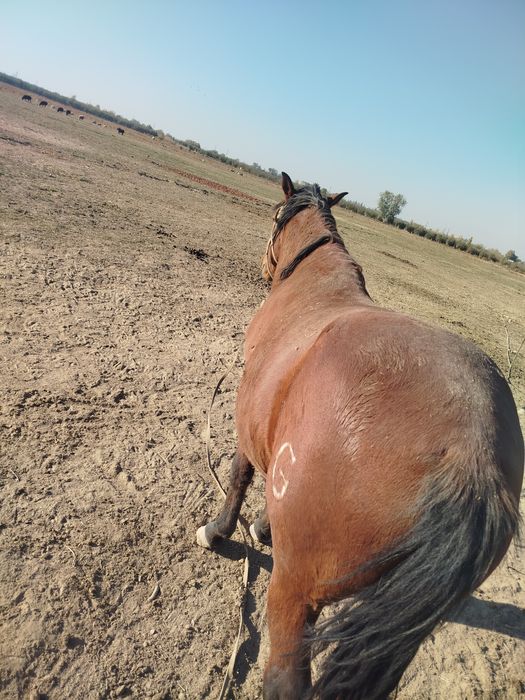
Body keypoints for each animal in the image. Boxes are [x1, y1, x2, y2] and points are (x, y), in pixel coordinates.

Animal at [196, 173, 523, 699]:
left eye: (274, 216)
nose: (265, 269)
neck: (315, 287)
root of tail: (471, 454)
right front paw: (265, 526)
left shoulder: (249, 423)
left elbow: (240, 475)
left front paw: (220, 530)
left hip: (295, 594)